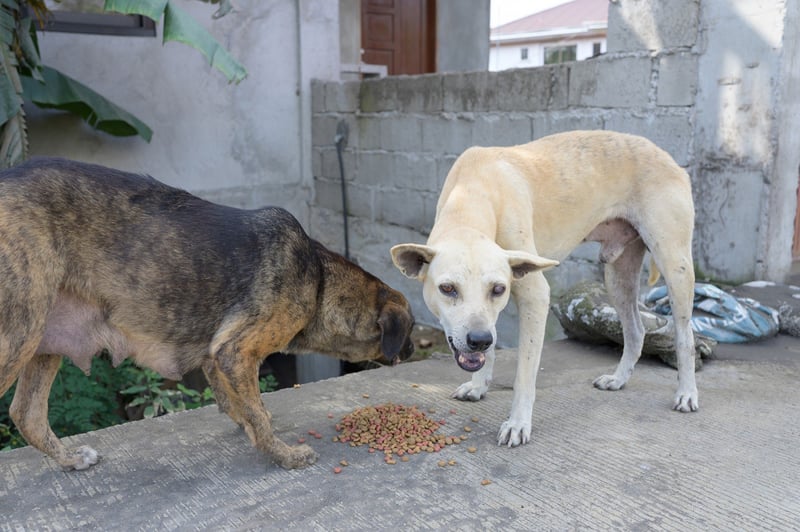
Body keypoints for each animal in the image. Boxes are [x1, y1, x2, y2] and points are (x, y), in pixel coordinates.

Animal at [0, 157, 412, 470]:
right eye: (409, 333)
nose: (410, 352)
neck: (318, 278)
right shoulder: (235, 351)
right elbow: (255, 411)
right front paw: (283, 455)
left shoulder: (216, 355)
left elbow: (239, 403)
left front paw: (253, 427)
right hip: (17, 334)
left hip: (43, 339)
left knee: (26, 415)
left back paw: (70, 460)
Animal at [390, 131, 696, 446]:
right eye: (447, 288)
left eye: (498, 289)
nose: (478, 340)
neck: (472, 195)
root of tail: (667, 156)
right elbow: (491, 349)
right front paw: (478, 386)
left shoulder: (535, 295)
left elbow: (524, 375)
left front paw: (517, 423)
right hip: (617, 277)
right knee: (635, 331)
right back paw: (619, 379)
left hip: (675, 266)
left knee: (685, 336)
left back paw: (686, 393)